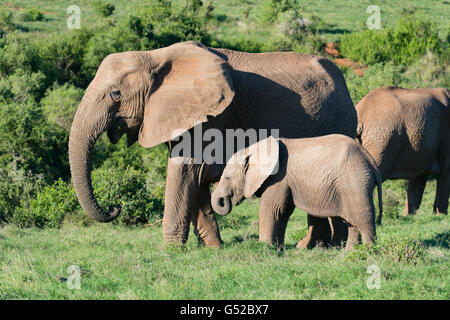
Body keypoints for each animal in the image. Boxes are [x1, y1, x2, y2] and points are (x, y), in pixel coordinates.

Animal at [68, 40, 356, 248]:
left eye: (115, 94)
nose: (115, 208)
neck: (154, 56)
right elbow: (193, 179)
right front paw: (214, 248)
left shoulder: (209, 115)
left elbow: (183, 170)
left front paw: (169, 251)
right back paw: (316, 246)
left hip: (339, 119)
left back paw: (327, 246)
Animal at [212, 135, 384, 250]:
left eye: (227, 177)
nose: (224, 199)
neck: (254, 148)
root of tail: (370, 160)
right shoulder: (285, 181)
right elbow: (283, 212)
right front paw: (278, 248)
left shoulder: (278, 178)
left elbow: (271, 209)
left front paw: (265, 247)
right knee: (352, 222)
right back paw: (348, 252)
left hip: (355, 181)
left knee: (363, 217)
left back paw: (369, 251)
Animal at [356, 85, 448, 215]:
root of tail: (361, 112)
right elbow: (445, 172)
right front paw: (440, 215)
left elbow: (418, 178)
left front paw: (409, 216)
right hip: (380, 142)